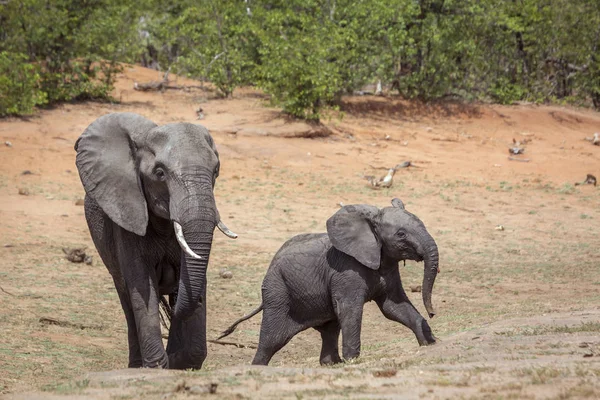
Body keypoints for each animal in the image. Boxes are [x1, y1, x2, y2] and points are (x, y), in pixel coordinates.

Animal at [74, 111, 236, 368]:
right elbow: (142, 288)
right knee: (127, 300)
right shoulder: (127, 218)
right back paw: (135, 365)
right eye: (159, 174)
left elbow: (191, 284)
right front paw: (157, 366)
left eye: (216, 171)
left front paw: (178, 360)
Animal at [218, 198, 438, 364]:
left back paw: (332, 363)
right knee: (272, 340)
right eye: (401, 234)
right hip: (277, 290)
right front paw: (352, 361)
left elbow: (393, 307)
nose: (433, 313)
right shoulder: (346, 272)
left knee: (329, 329)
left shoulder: (388, 267)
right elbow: (351, 310)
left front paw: (429, 343)